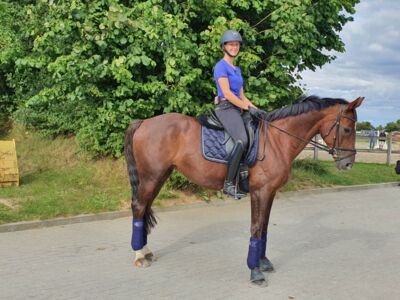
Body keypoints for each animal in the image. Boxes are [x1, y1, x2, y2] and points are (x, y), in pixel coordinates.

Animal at [123, 95, 364, 286]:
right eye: (347, 129)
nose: (348, 164)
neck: (278, 140)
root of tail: (143, 122)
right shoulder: (260, 192)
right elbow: (256, 228)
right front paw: (255, 272)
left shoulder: (270, 192)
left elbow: (264, 228)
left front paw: (263, 262)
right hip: (152, 176)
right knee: (139, 206)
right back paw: (139, 255)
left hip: (158, 176)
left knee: (144, 208)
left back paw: (146, 251)